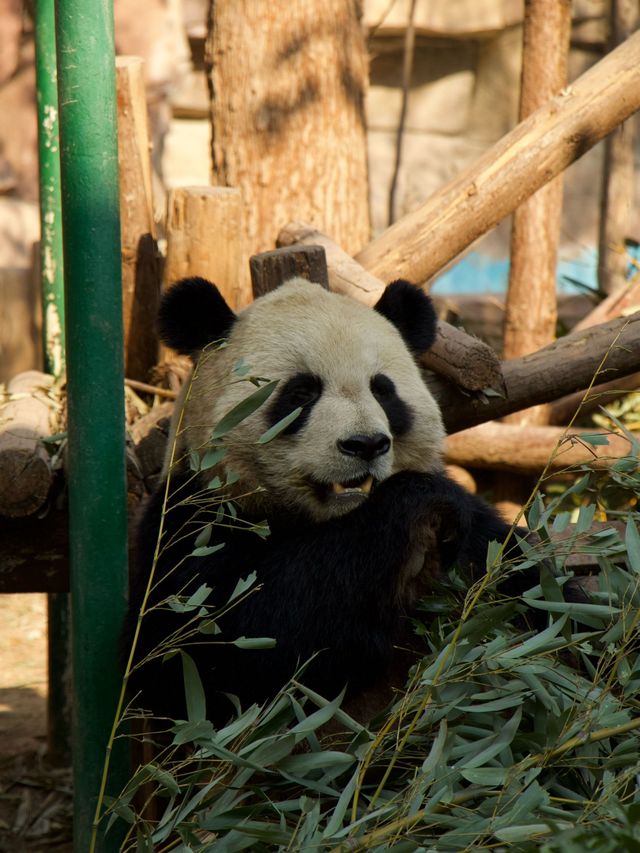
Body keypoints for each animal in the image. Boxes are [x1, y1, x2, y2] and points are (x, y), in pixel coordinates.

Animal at [127, 278, 532, 720]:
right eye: (302, 393)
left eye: (383, 391)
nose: (366, 444)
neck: (332, 519)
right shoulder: (196, 524)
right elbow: (222, 651)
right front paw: (418, 505)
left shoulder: (485, 544)